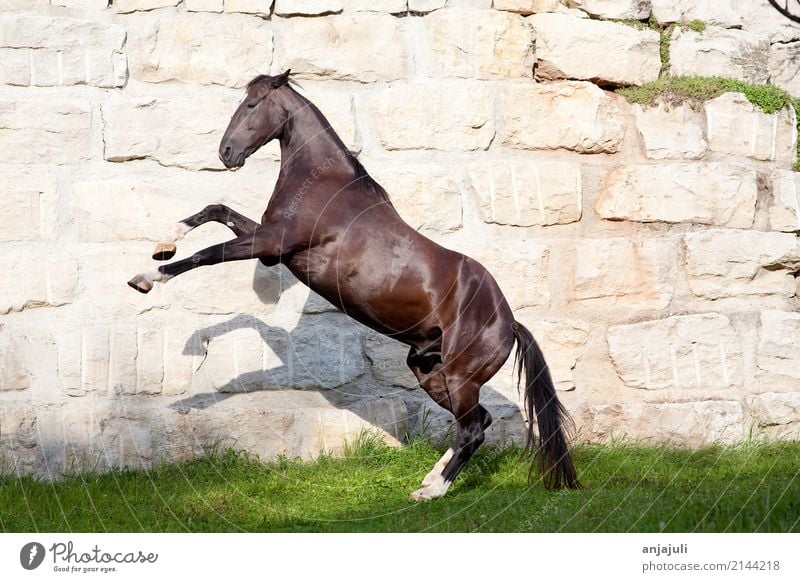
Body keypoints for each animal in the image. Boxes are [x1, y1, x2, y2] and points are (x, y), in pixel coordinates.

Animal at [128, 69, 580, 502]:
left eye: (253, 104)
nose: (226, 153)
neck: (324, 183)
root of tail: (509, 322)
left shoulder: (271, 244)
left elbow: (208, 255)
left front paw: (147, 279)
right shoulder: (270, 247)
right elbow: (215, 210)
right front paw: (162, 246)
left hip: (458, 376)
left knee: (472, 429)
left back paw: (431, 491)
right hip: (429, 371)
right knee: (477, 422)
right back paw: (428, 479)